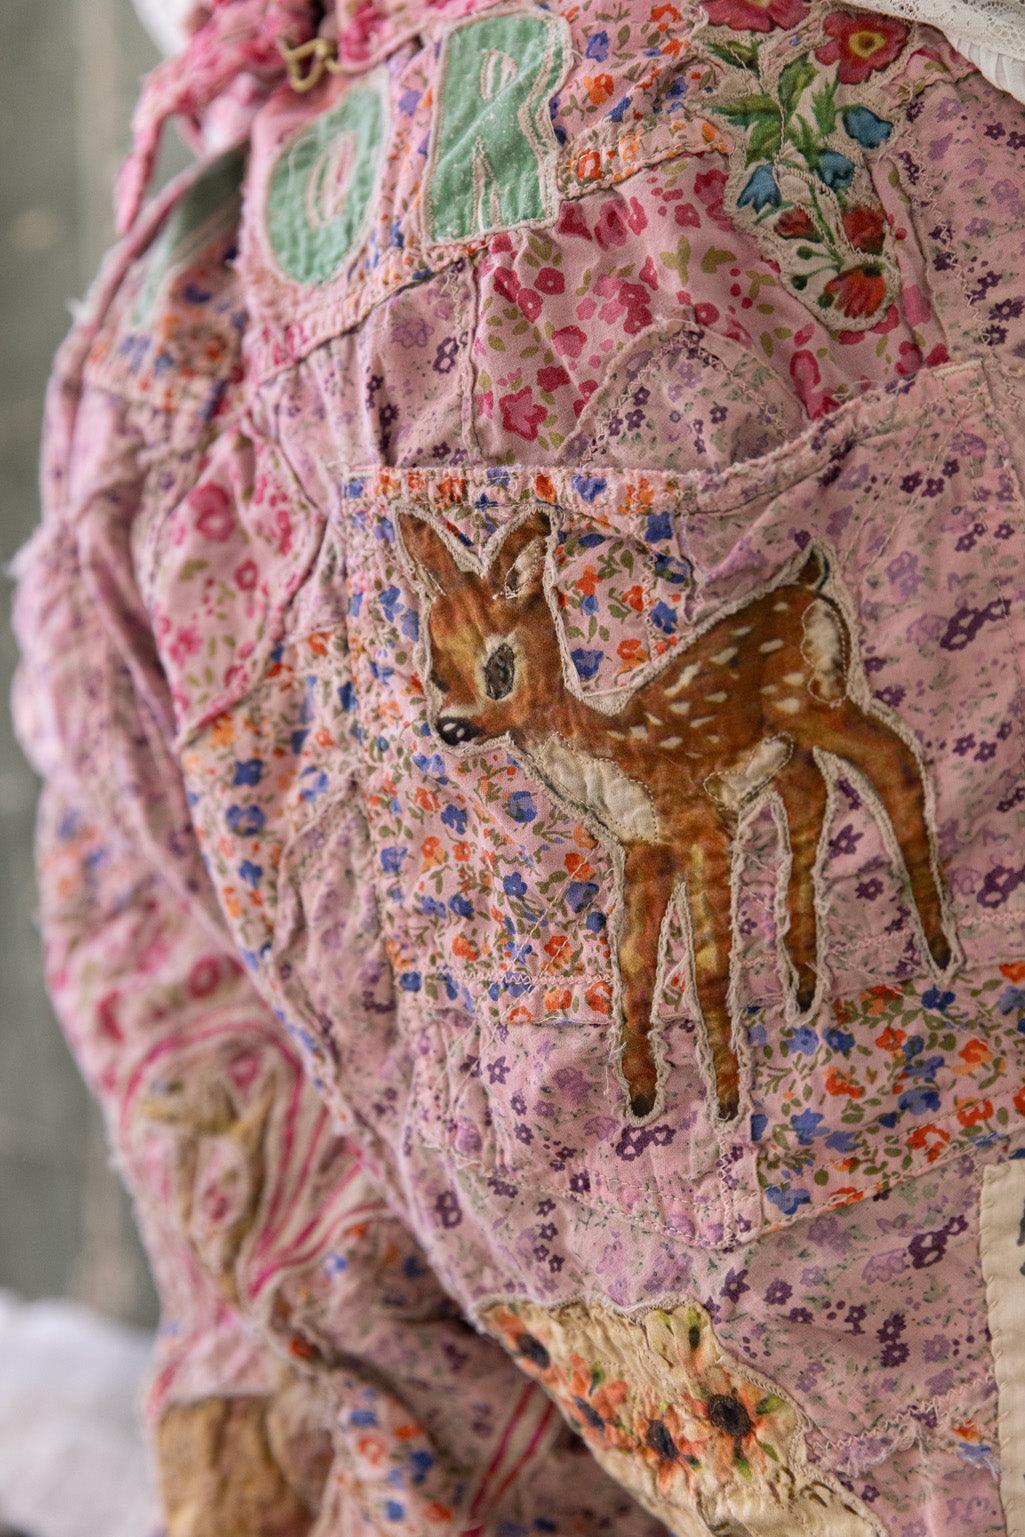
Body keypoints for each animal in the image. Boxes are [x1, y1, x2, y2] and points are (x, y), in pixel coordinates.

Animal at [398, 505, 955, 1123]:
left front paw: (728, 1100)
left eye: (500, 664)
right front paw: (641, 1092)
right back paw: (806, 982)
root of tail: (809, 584)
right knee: (814, 797)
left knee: (893, 759)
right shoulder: (645, 846)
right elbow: (634, 962)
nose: (449, 728)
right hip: (788, 743)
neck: (621, 760)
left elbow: (707, 969)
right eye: (435, 670)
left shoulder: (701, 824)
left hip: (814, 698)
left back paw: (937, 948)